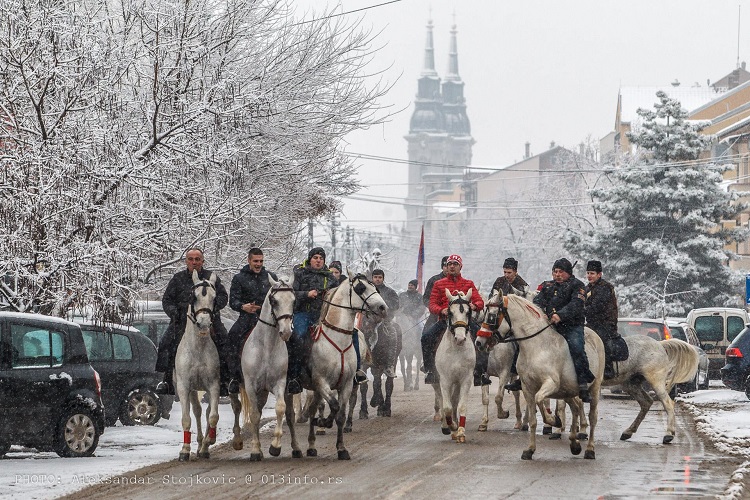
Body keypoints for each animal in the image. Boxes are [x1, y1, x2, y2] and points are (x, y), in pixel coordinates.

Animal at [232, 278, 296, 460]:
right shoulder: (251, 386)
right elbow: (254, 415)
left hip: (264, 392)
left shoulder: (279, 383)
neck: (267, 346)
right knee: (237, 407)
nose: (286, 332)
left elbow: (280, 408)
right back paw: (238, 441)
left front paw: (275, 446)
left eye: (293, 300)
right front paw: (254, 450)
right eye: (274, 301)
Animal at [290, 272, 390, 458]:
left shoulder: (347, 384)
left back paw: (312, 445)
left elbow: (341, 414)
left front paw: (342, 449)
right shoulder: (321, 382)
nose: (382, 308)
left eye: (376, 287)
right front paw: (323, 422)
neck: (337, 340)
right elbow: (333, 405)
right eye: (361, 288)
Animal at [434, 288, 476, 444]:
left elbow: (461, 405)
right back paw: (447, 426)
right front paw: (451, 426)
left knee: (454, 400)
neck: (456, 349)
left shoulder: (465, 379)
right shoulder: (445, 380)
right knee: (442, 399)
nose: (460, 338)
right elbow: (447, 407)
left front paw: (460, 431)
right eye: (450, 313)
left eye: (468, 312)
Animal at [478, 292, 608, 460]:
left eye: (492, 316)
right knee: (575, 408)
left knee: (592, 416)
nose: (479, 342)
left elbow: (540, 399)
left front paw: (554, 421)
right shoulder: (527, 387)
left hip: (594, 388)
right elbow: (533, 419)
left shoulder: (550, 383)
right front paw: (529, 450)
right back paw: (574, 443)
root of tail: (596, 336)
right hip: (567, 391)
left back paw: (589, 449)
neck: (537, 346)